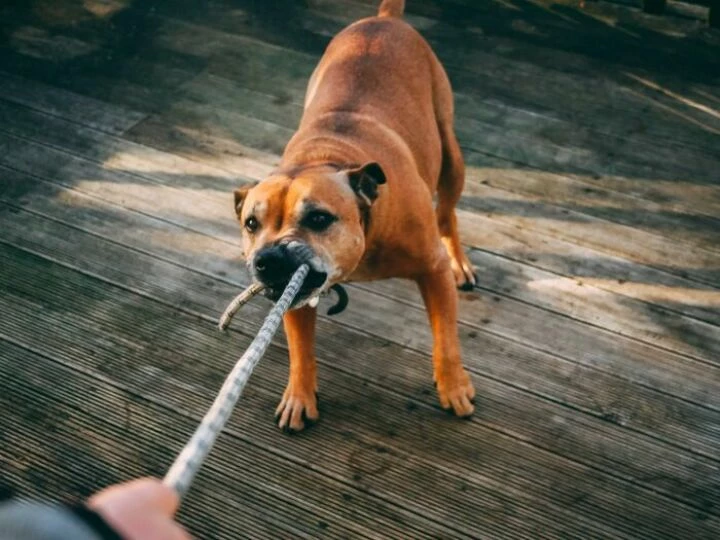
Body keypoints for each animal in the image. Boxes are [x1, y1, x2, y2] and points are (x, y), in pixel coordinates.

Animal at [233, 0, 476, 430]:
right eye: (251, 224)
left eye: (318, 219)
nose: (269, 259)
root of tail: (384, 20)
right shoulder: (295, 297)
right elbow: (301, 348)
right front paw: (299, 396)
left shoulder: (432, 270)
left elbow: (445, 337)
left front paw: (454, 387)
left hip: (451, 154)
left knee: (447, 212)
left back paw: (460, 262)